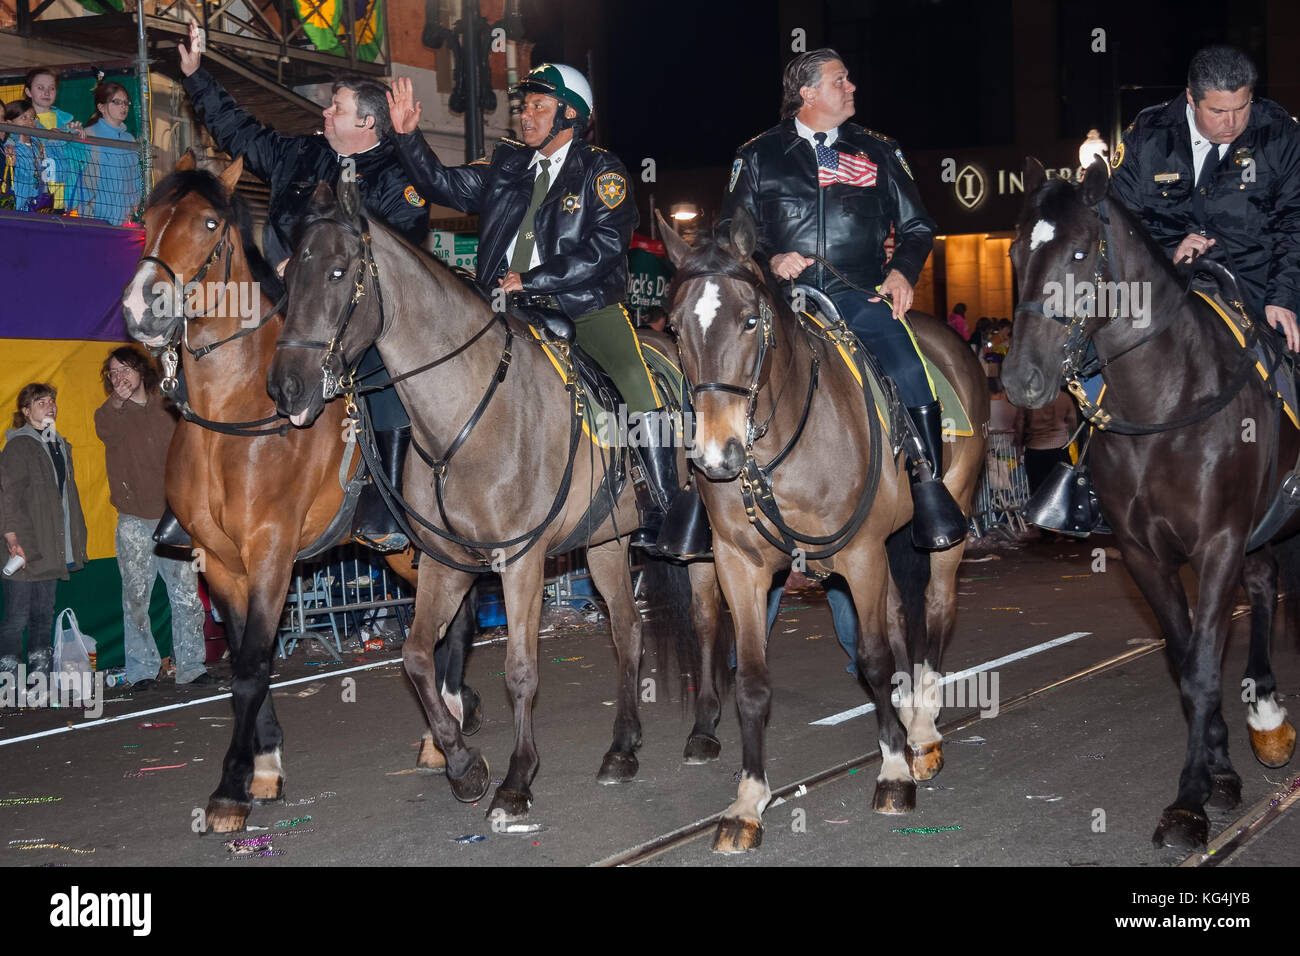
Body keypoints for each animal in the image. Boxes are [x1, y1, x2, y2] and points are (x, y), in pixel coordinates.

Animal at [120, 155, 478, 832]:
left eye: (209, 224)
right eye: (147, 218)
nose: (139, 307)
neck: (234, 414)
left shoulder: (270, 550)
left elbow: (252, 666)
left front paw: (228, 791)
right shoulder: (221, 562)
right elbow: (246, 660)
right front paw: (264, 768)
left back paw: (443, 731)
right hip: (403, 554)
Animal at [262, 179, 712, 822]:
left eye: (337, 272)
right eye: (287, 277)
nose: (286, 388)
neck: (469, 414)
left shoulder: (521, 562)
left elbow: (519, 670)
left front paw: (516, 780)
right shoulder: (446, 565)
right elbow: (417, 656)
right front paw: (463, 765)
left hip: (700, 545)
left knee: (707, 621)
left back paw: (705, 732)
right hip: (607, 541)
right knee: (628, 632)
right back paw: (622, 748)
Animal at [660, 209, 982, 853]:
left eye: (750, 319)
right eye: (676, 327)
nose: (716, 455)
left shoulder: (859, 554)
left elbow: (875, 660)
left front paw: (893, 772)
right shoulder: (740, 567)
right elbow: (752, 682)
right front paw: (748, 802)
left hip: (943, 529)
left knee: (934, 612)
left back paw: (923, 734)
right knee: (898, 621)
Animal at [998, 157, 1294, 853]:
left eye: (1080, 253)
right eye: (1017, 252)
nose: (1021, 380)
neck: (1167, 401)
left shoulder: (1217, 544)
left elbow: (1205, 665)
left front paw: (1187, 803)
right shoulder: (1144, 553)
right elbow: (1187, 663)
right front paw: (1216, 772)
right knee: (1264, 583)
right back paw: (1265, 713)